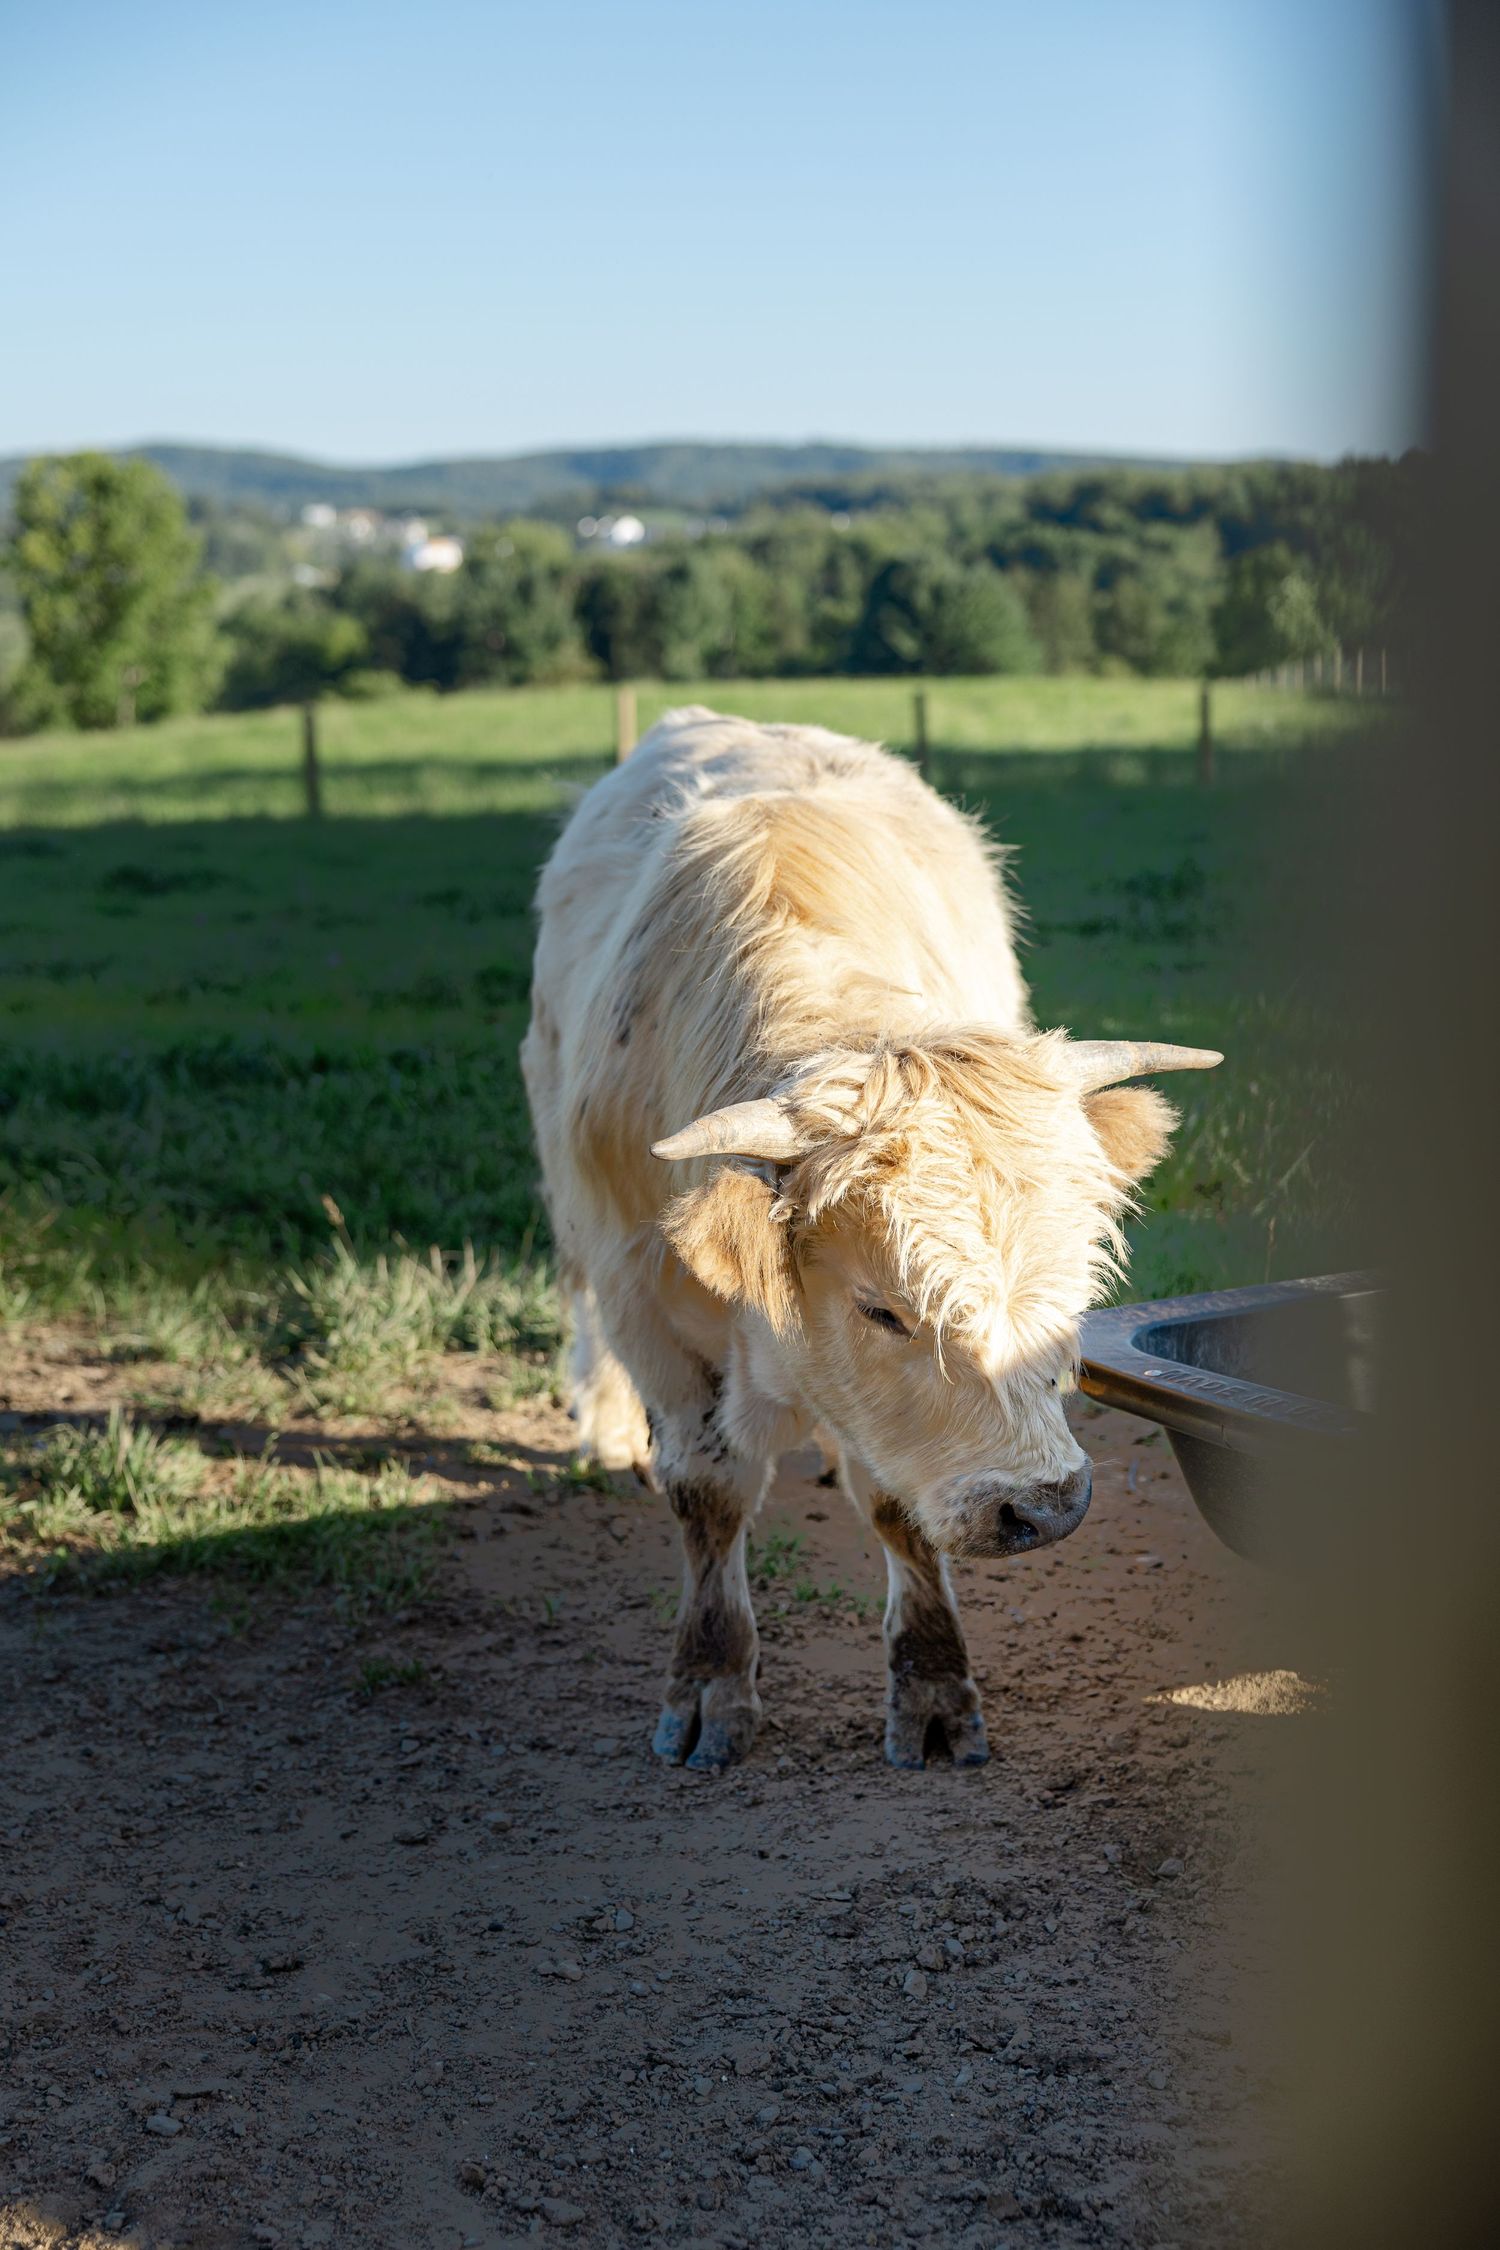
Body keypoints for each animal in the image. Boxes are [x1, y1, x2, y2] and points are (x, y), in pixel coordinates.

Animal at [521, 707, 1220, 1771]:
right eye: (881, 1309)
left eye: (1068, 1295)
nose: (1046, 1505)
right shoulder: (647, 1297)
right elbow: (707, 1494)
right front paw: (708, 1686)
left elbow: (898, 1503)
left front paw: (932, 1690)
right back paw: (601, 1432)